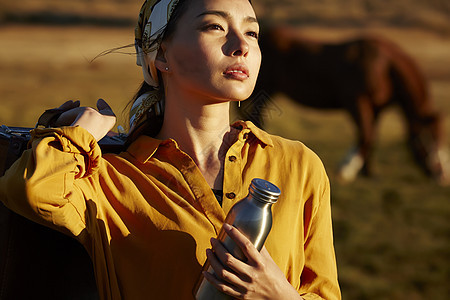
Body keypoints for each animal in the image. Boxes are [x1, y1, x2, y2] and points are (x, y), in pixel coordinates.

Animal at [237, 25, 448, 184]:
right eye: (426, 137)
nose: (442, 176)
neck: (382, 65)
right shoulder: (357, 103)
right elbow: (366, 135)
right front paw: (347, 169)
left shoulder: (376, 108)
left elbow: (372, 136)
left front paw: (369, 172)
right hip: (264, 88)